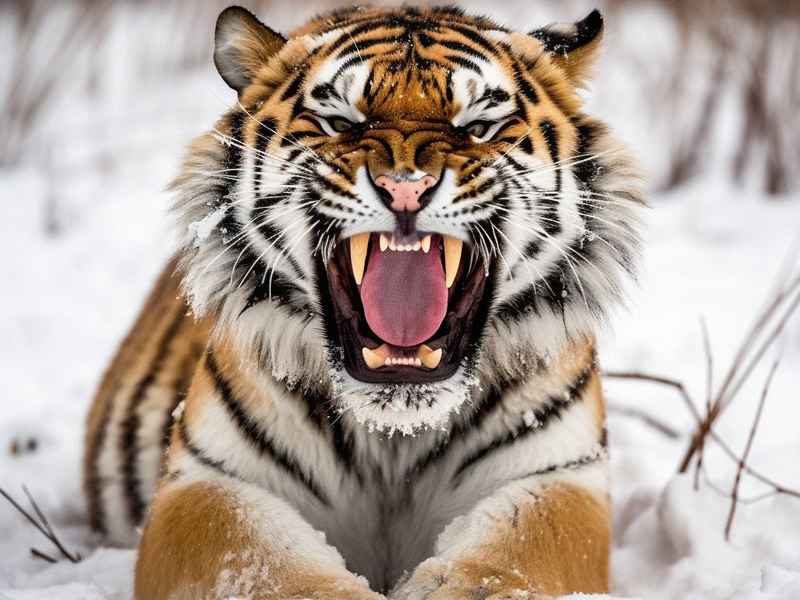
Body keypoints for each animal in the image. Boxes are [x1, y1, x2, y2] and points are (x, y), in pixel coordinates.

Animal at [82, 4, 643, 599]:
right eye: (340, 121)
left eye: (478, 127)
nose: (406, 187)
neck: (394, 433)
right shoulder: (209, 480)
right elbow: (262, 563)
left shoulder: (558, 476)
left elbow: (507, 558)